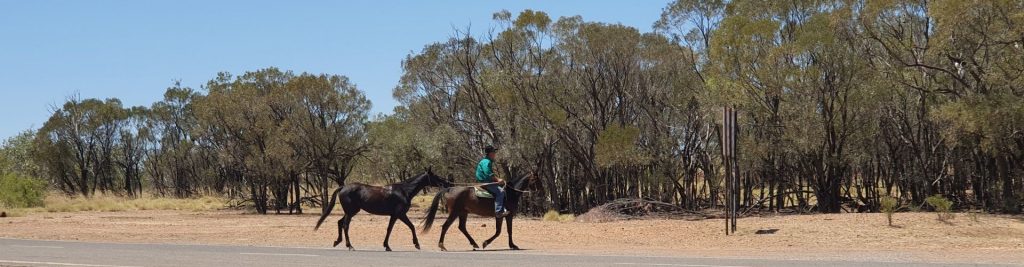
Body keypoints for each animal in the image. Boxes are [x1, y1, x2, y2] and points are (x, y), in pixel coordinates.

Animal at [313, 167, 450, 250]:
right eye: (435, 176)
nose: (447, 183)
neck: (404, 191)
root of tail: (343, 187)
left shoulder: (395, 215)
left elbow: (391, 229)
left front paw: (387, 245)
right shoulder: (399, 214)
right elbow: (406, 227)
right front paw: (415, 244)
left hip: (351, 211)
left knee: (340, 222)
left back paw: (337, 241)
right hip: (351, 212)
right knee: (345, 225)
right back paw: (350, 246)